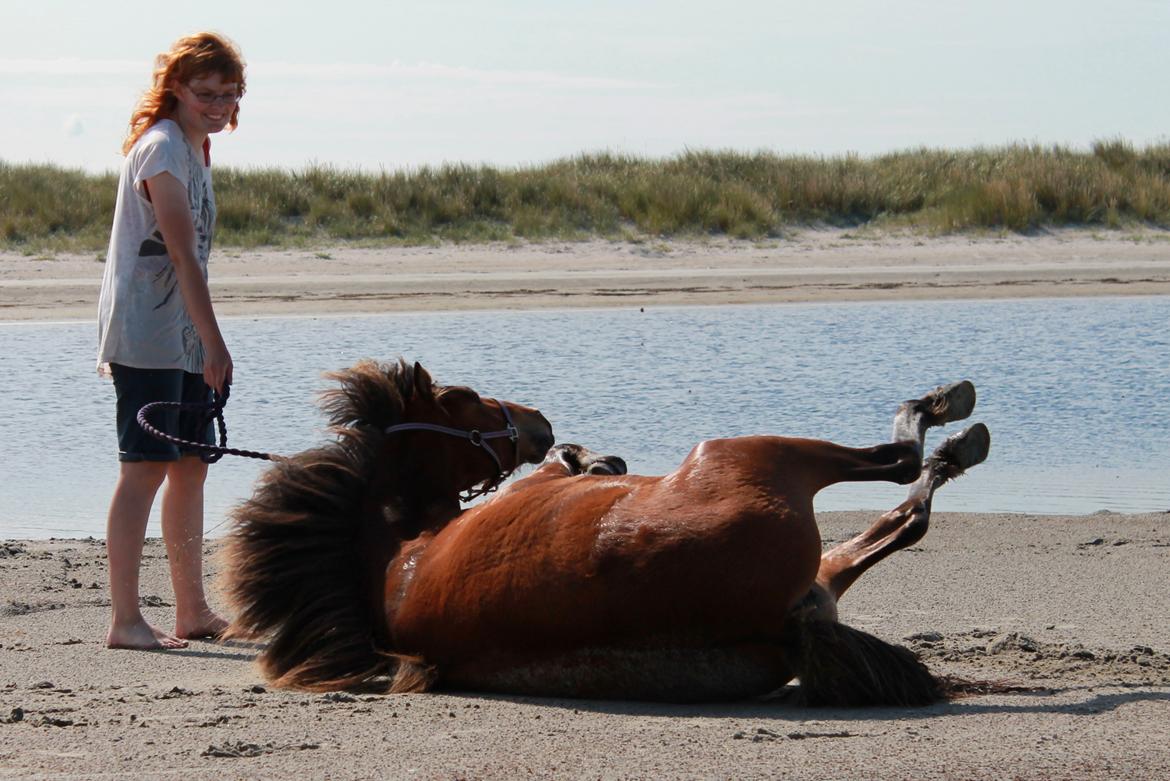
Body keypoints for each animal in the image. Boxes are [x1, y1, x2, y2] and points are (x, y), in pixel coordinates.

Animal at [219, 360, 987, 706]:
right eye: (462, 399)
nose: (539, 422)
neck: (399, 550)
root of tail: (790, 623)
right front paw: (591, 456)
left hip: (818, 569)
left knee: (902, 515)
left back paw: (952, 444)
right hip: (755, 455)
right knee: (901, 469)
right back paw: (952, 420)